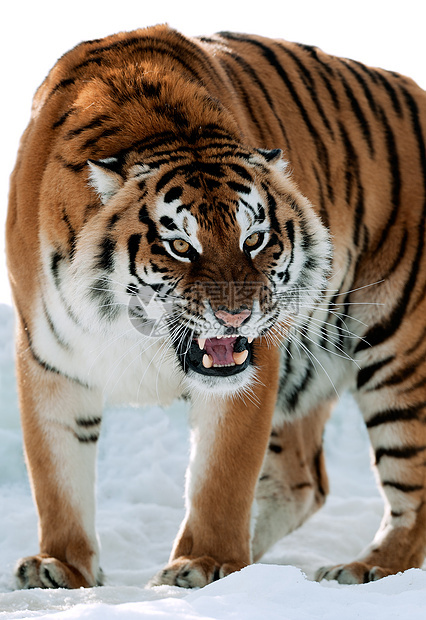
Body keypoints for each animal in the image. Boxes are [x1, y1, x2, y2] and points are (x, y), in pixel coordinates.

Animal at [6, 24, 426, 588]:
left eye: (254, 238)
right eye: (181, 246)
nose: (236, 316)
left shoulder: (254, 366)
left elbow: (221, 474)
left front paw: (204, 564)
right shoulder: (48, 358)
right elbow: (56, 473)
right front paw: (59, 566)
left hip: (400, 348)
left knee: (409, 491)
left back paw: (365, 569)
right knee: (302, 481)